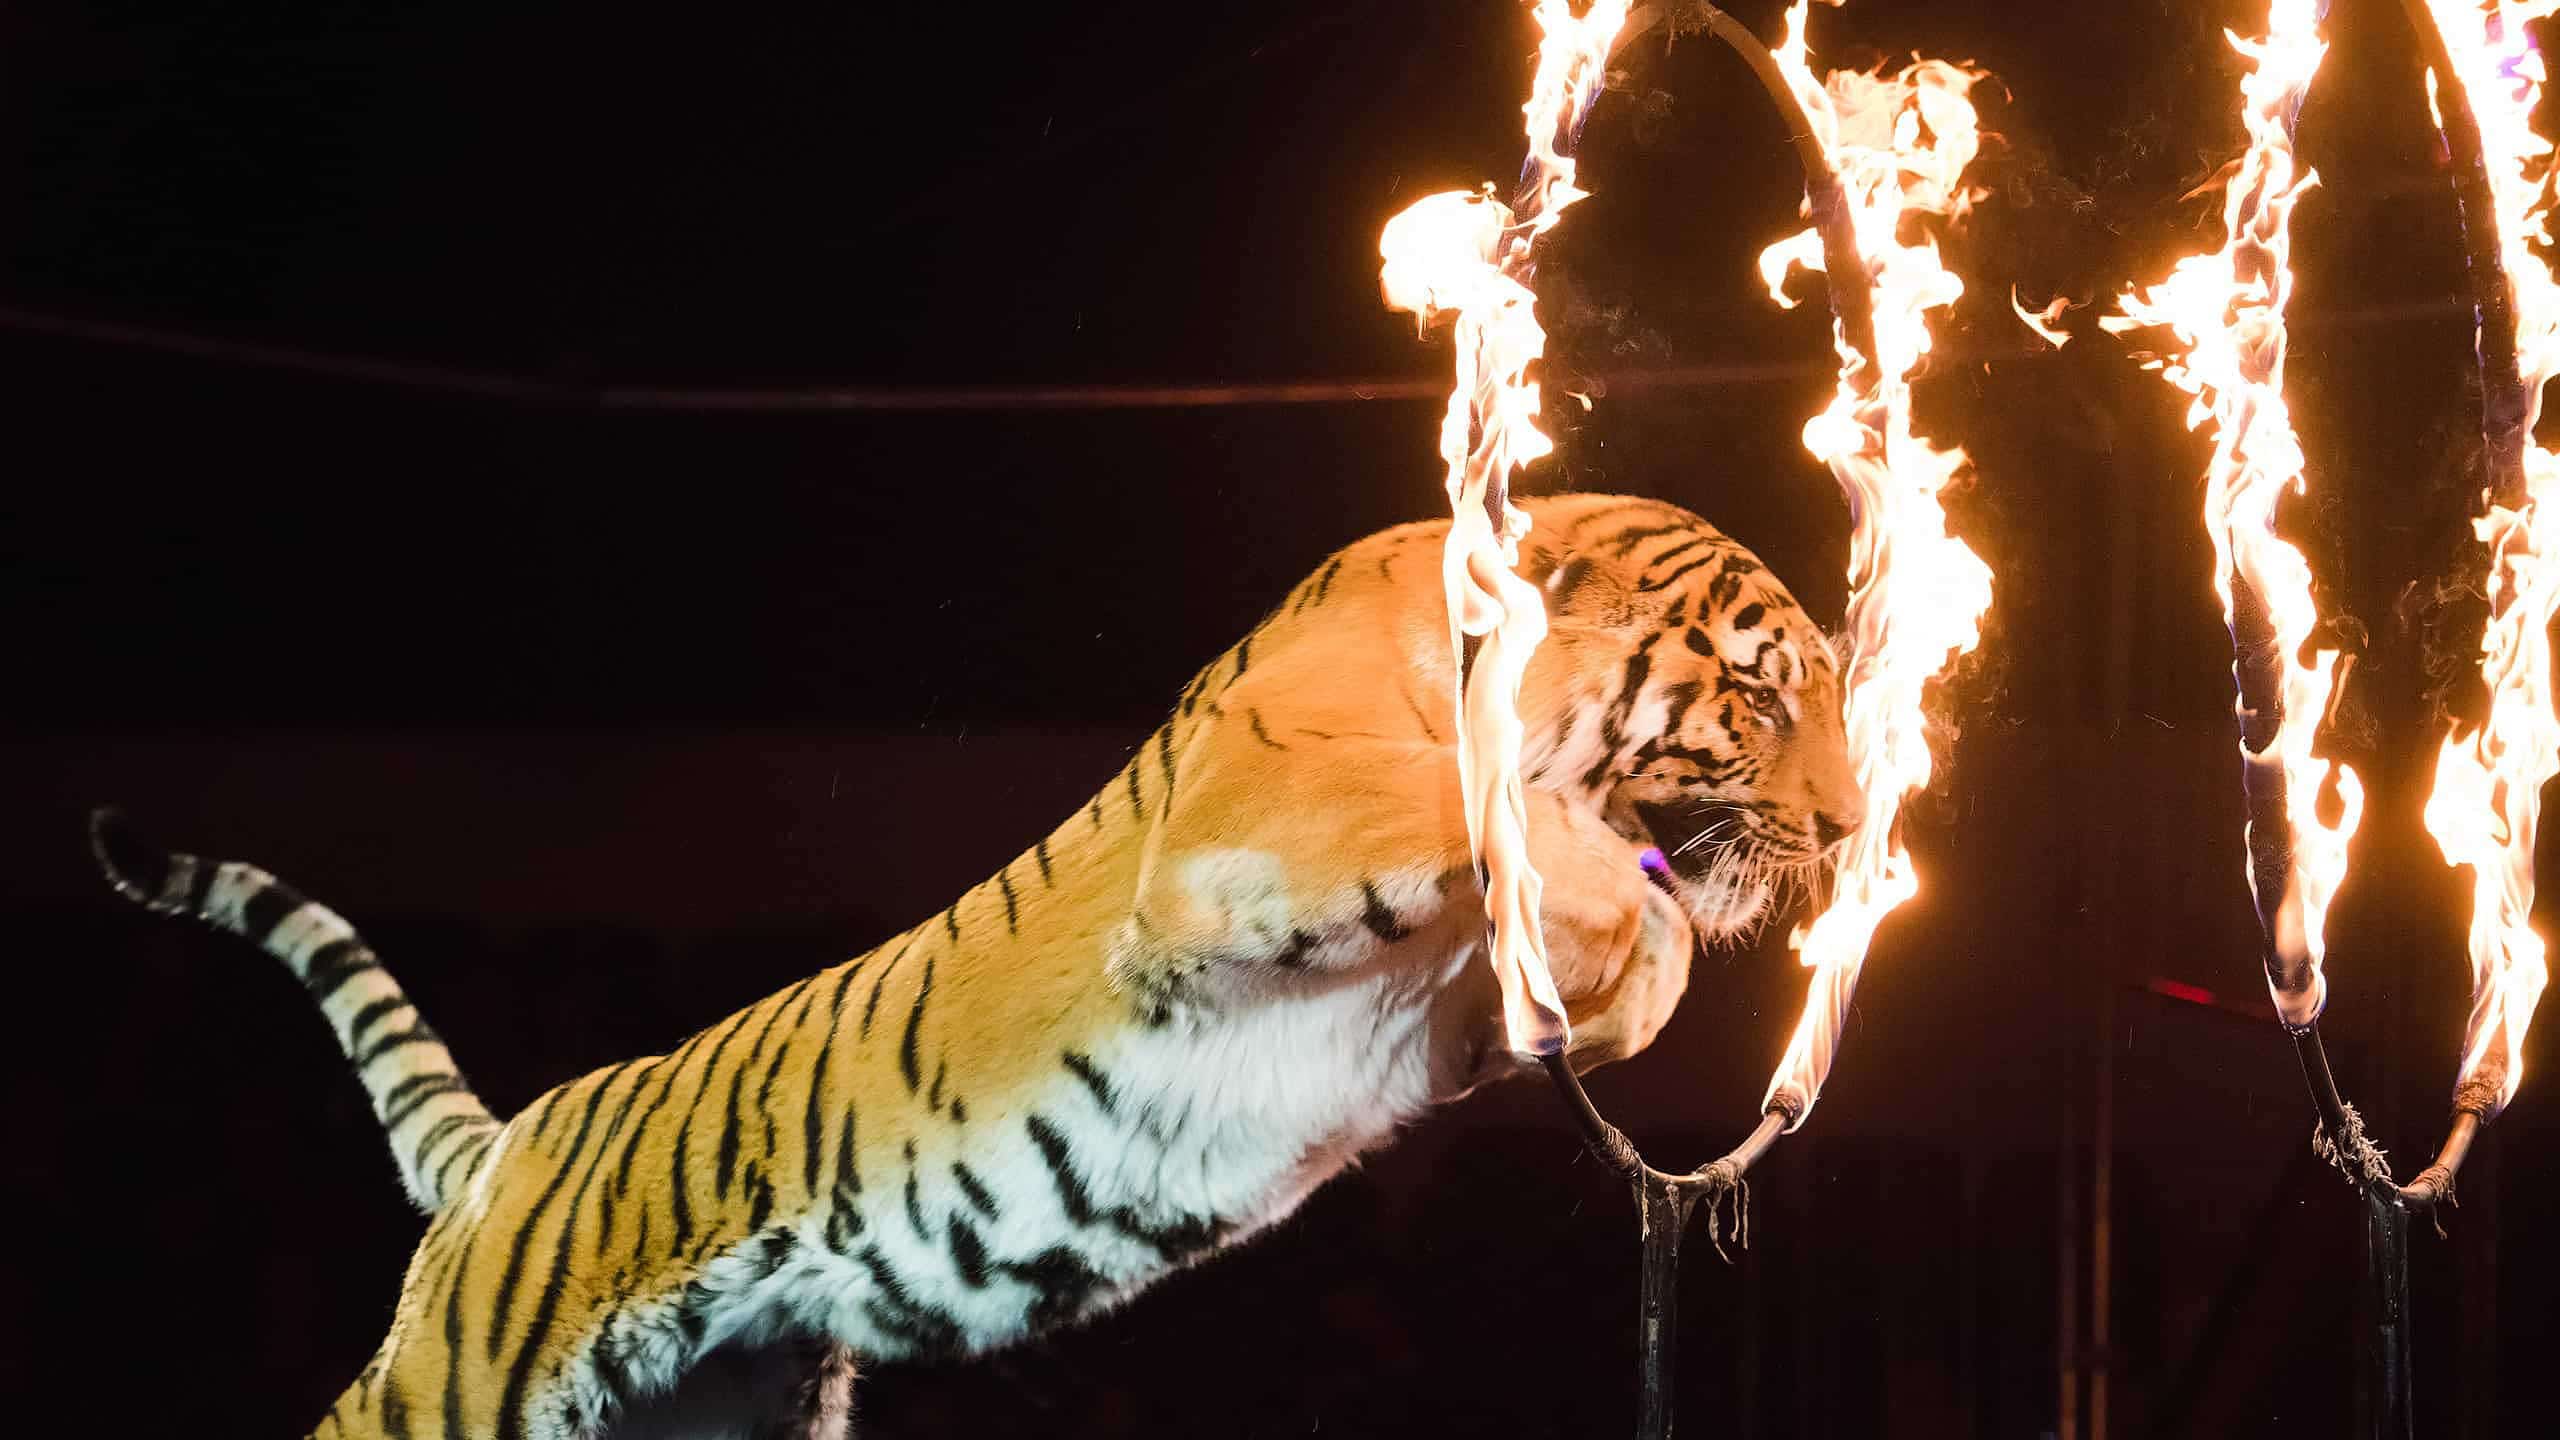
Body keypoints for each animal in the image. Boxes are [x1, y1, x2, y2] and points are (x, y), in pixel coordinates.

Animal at [91, 491, 1858, 1440]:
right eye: (1762, 695)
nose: (1849, 832)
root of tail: (506, 1143)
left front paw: (1625, 988)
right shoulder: (1250, 811)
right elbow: (1525, 828)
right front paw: (1629, 941)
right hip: (447, 1387)